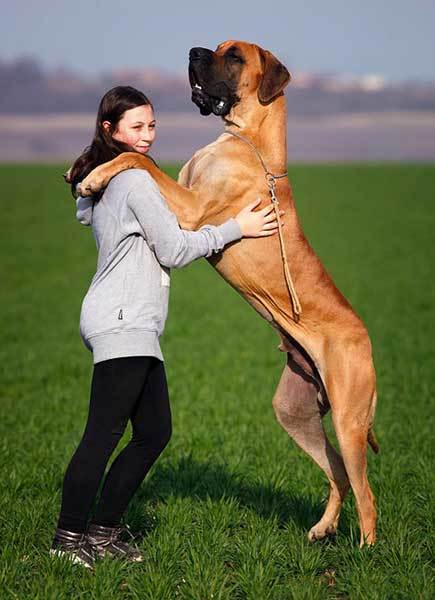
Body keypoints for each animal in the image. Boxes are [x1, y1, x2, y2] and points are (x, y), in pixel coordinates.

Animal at [80, 38, 380, 544]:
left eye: (235, 56)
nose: (193, 50)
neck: (247, 140)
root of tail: (367, 341)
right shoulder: (180, 190)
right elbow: (145, 159)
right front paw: (87, 168)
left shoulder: (190, 209)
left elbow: (137, 158)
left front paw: (94, 175)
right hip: (295, 413)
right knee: (338, 473)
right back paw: (322, 529)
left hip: (348, 418)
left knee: (366, 492)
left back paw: (366, 551)